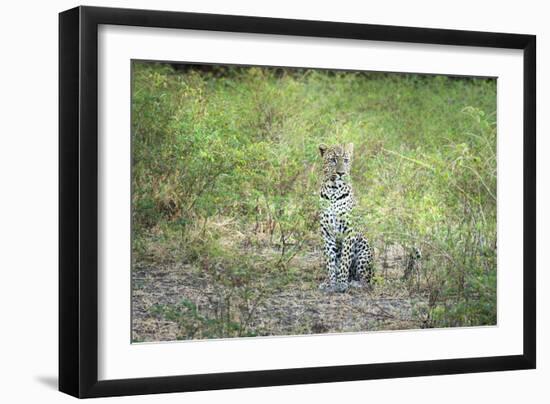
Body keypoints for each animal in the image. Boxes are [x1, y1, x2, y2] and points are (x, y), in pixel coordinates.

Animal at [320, 144, 376, 292]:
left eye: (345, 160)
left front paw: (341, 284)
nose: (341, 173)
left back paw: (354, 283)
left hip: (364, 249)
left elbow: (345, 259)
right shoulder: (327, 232)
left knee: (366, 279)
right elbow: (330, 261)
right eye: (333, 160)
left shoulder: (349, 231)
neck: (333, 191)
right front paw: (331, 283)